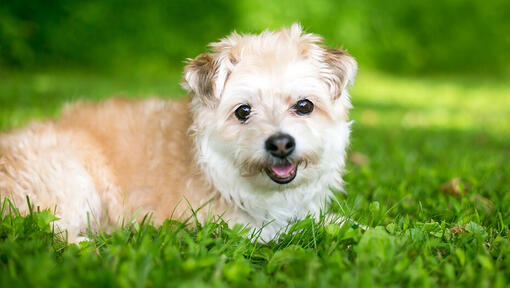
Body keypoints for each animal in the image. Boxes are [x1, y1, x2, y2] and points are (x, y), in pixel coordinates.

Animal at [0, 23, 356, 242]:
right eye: (243, 112)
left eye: (304, 106)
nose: (281, 144)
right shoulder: (221, 226)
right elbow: (279, 233)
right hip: (69, 180)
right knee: (52, 232)